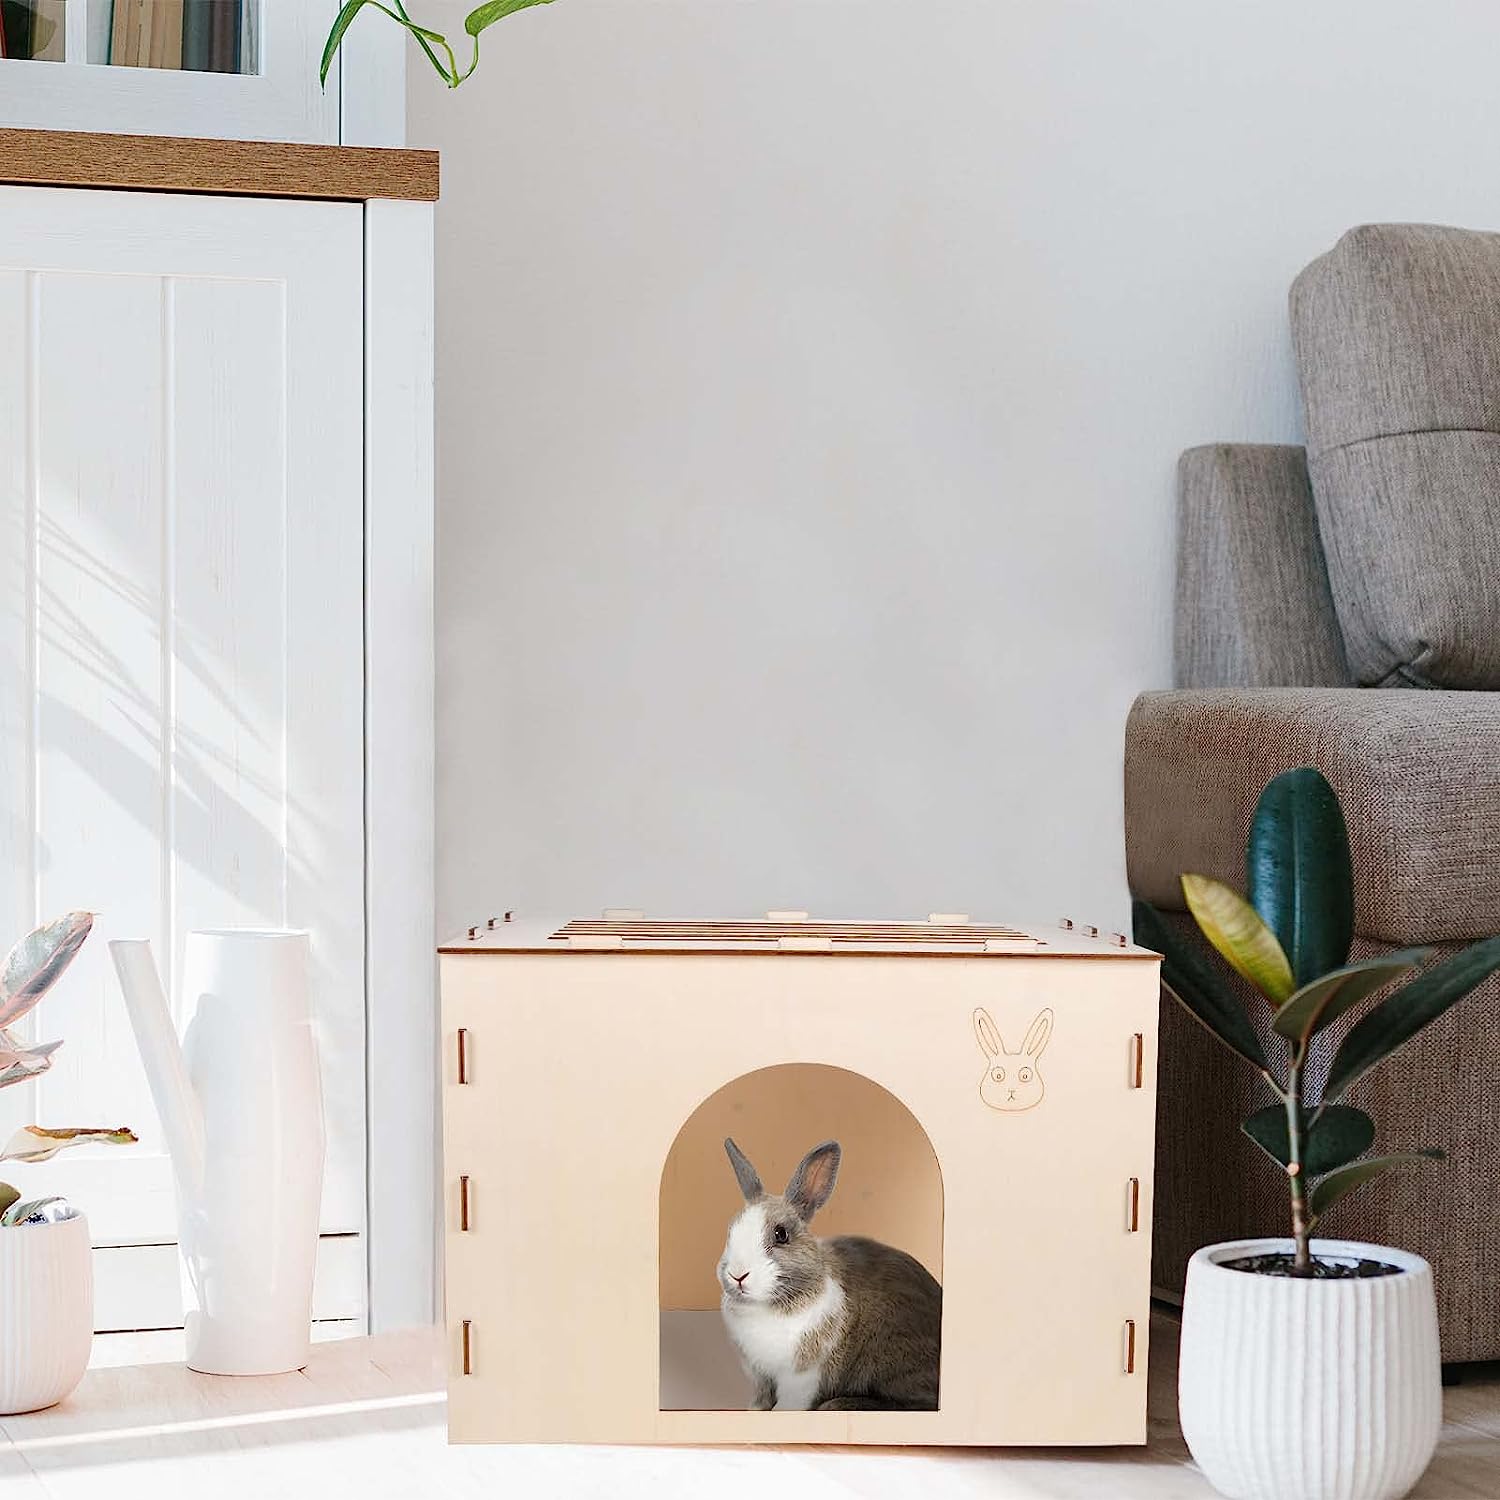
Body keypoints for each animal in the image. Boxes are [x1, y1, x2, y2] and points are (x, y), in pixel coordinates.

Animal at [717, 1137, 942, 1412]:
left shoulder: (802, 1376)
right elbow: (761, 1398)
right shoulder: (760, 1375)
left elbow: (790, 1403)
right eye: (731, 1231)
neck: (765, 1307)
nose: (738, 1275)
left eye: (781, 1234)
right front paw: (755, 1410)